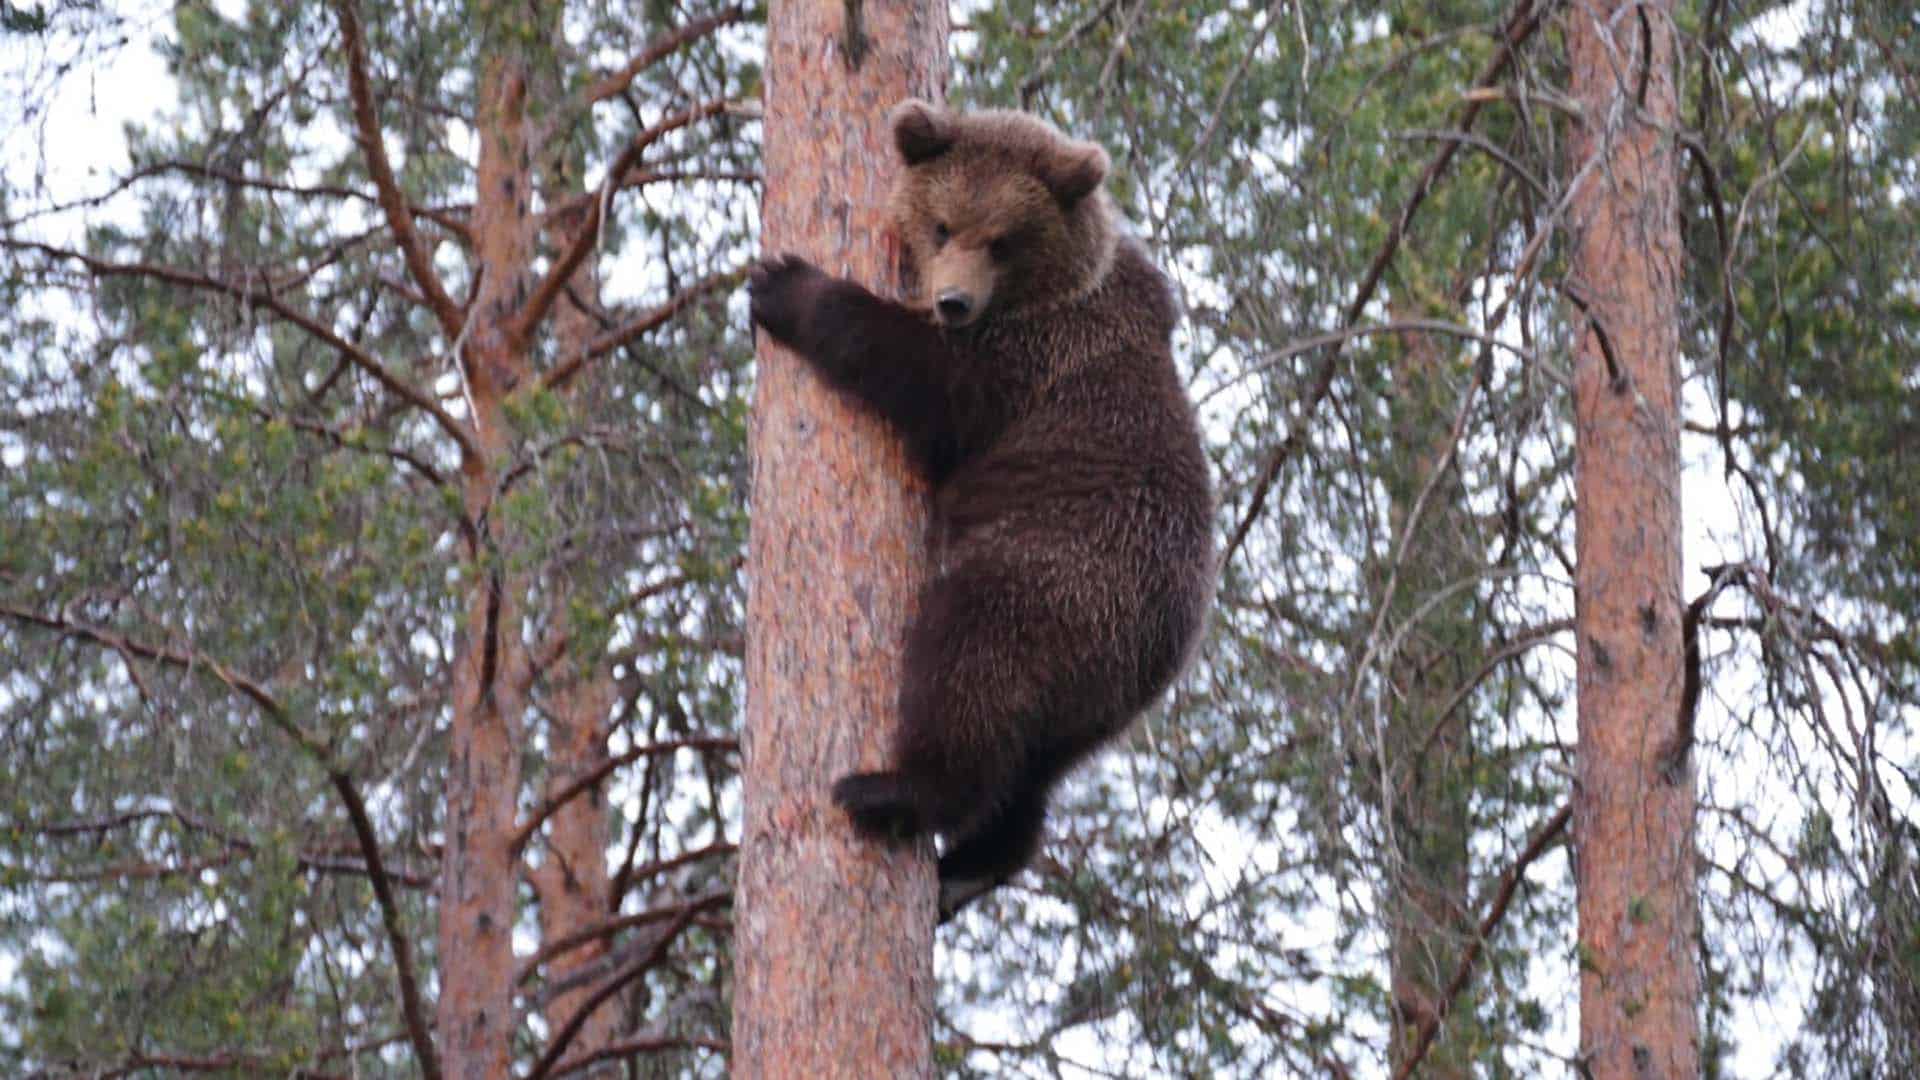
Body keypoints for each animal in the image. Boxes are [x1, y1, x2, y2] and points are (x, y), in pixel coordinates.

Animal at [748, 99, 1214, 919]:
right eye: (943, 226)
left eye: (1002, 240)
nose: (953, 301)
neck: (1055, 288)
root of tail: (1169, 649)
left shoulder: (1033, 363)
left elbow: (920, 374)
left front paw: (785, 285)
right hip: (1094, 692)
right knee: (1030, 768)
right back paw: (974, 865)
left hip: (1059, 577)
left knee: (970, 660)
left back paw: (893, 790)